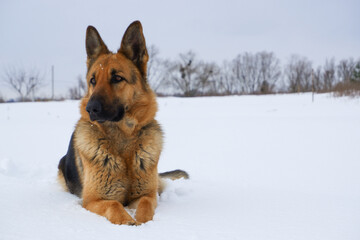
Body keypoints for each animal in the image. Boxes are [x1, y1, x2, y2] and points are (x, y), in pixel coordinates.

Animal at [58, 21, 188, 225]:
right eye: (93, 81)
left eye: (117, 78)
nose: (90, 108)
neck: (122, 141)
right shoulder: (92, 200)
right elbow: (114, 204)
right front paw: (128, 222)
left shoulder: (147, 195)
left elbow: (145, 204)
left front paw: (143, 222)